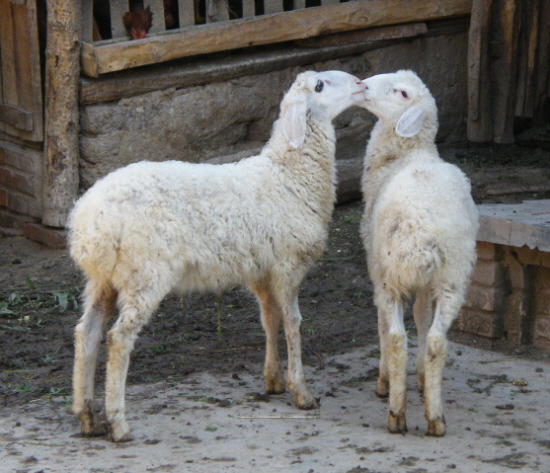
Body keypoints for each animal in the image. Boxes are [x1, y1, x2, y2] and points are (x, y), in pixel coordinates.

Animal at [70, 70, 370, 442]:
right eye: (319, 86)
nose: (361, 84)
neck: (288, 174)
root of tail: (89, 222)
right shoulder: (287, 266)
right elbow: (293, 324)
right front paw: (301, 390)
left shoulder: (262, 272)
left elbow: (269, 319)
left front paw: (273, 380)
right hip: (145, 274)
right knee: (118, 338)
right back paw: (118, 423)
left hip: (104, 279)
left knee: (87, 333)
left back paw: (87, 417)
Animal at [360, 69, 480, 436]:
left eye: (402, 93)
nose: (362, 85)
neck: (406, 154)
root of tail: (419, 231)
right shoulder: (427, 283)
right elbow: (423, 318)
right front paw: (424, 378)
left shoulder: (375, 268)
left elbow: (384, 324)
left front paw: (386, 380)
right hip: (453, 276)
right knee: (439, 339)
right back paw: (435, 416)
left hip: (390, 276)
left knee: (396, 337)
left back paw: (396, 412)